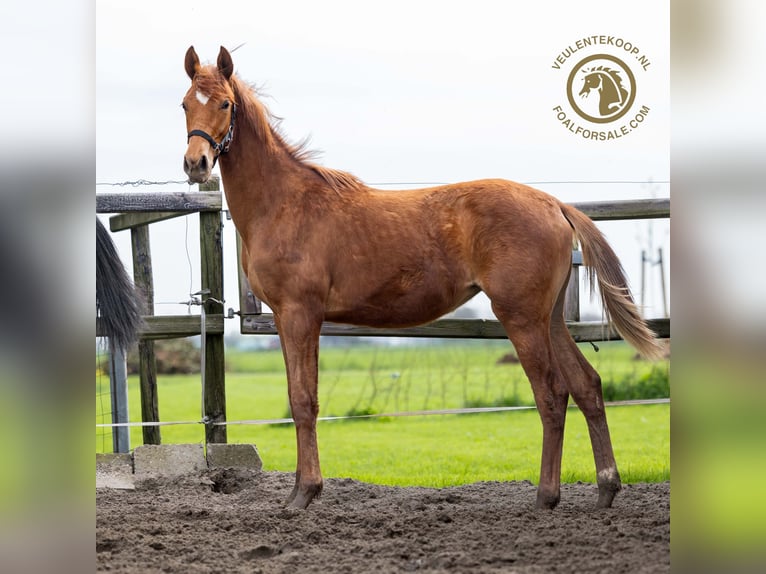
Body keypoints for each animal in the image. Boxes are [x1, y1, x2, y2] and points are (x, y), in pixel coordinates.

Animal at [182, 47, 664, 510]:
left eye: (225, 103)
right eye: (185, 103)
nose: (195, 164)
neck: (285, 202)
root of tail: (555, 205)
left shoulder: (301, 314)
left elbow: (304, 401)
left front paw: (305, 494)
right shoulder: (286, 318)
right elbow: (299, 395)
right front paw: (300, 490)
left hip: (522, 318)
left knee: (551, 394)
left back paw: (546, 497)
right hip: (551, 320)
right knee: (587, 386)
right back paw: (606, 489)